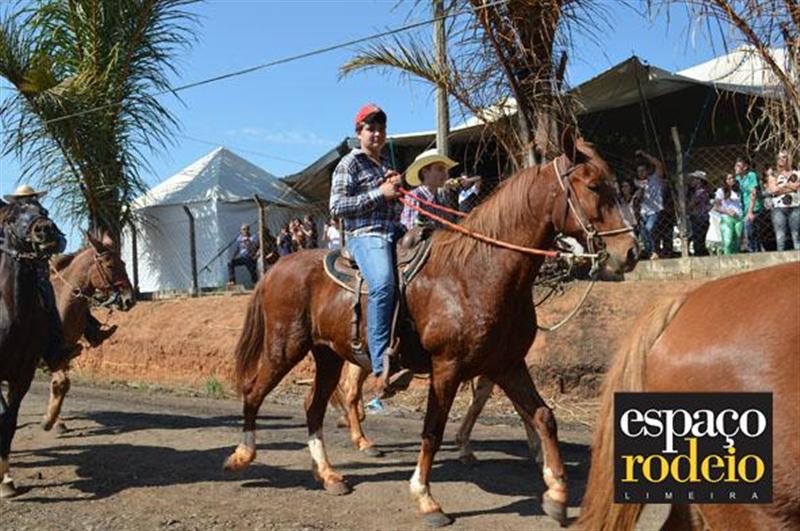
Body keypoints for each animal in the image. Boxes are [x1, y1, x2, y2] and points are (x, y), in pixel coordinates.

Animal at [42, 231, 136, 434]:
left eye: (124, 263)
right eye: (110, 265)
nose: (129, 300)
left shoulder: (64, 353)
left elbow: (61, 384)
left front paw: (54, 421)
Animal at [223, 136, 639, 527]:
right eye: (594, 186)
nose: (631, 251)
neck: (477, 272)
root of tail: (276, 267)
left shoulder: (506, 364)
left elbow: (542, 416)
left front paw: (555, 492)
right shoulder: (447, 367)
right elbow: (433, 431)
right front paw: (426, 498)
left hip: (327, 355)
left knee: (314, 407)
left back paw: (328, 475)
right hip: (285, 347)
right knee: (255, 390)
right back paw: (243, 455)